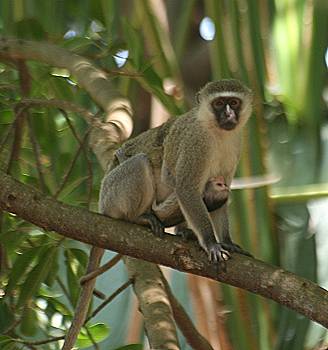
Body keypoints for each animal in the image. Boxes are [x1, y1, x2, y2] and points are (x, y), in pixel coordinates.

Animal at [100, 79, 254, 262]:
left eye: (234, 102)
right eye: (219, 103)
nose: (229, 115)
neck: (217, 132)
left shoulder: (236, 145)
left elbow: (223, 189)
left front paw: (227, 242)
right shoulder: (195, 142)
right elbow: (185, 187)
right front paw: (210, 243)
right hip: (112, 195)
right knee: (140, 162)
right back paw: (138, 218)